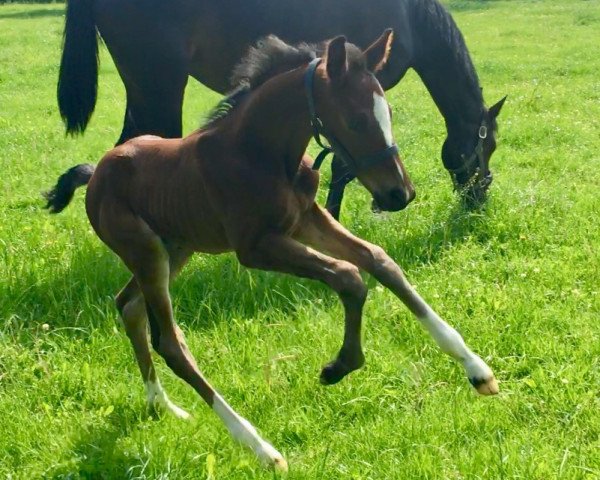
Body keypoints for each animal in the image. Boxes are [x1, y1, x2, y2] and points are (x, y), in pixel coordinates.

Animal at [45, 32, 496, 468]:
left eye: (389, 114)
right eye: (355, 119)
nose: (400, 194)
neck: (259, 151)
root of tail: (96, 173)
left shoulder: (306, 219)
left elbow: (379, 260)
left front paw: (477, 369)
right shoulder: (256, 246)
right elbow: (348, 276)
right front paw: (338, 367)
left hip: (175, 249)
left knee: (129, 307)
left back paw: (162, 405)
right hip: (146, 252)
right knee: (170, 341)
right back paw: (260, 448)